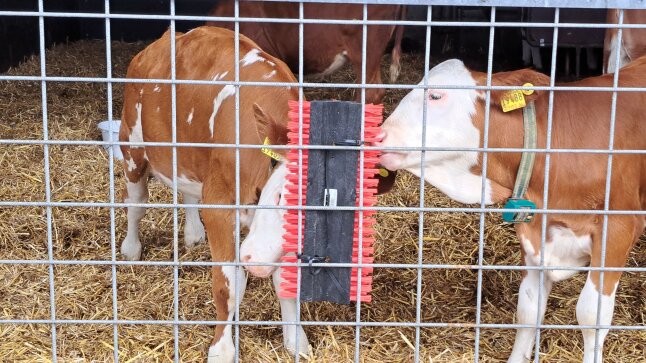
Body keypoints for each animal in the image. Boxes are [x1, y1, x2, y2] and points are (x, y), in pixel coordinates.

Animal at [119, 27, 312, 362]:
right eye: (279, 197)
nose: (254, 260)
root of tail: (167, 37)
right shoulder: (221, 208)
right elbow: (228, 287)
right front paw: (221, 350)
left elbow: (286, 283)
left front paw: (295, 340)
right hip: (132, 145)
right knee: (136, 205)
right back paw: (131, 249)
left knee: (188, 193)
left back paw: (194, 233)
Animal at [378, 58, 644, 362]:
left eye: (435, 96)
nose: (379, 135)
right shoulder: (533, 229)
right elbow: (528, 310)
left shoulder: (618, 231)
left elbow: (591, 315)